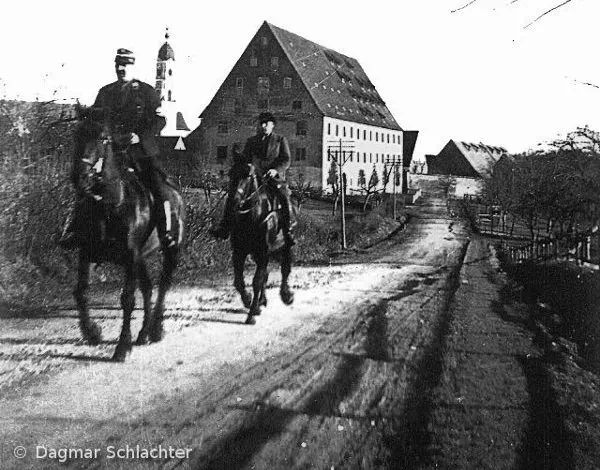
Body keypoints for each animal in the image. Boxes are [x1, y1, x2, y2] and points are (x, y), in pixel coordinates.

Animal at [70, 112, 184, 362]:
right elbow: (80, 291)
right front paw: (92, 332)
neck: (110, 204)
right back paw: (143, 333)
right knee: (148, 287)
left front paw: (122, 346)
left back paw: (156, 329)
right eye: (76, 134)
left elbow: (127, 299)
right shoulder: (87, 253)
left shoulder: (130, 256)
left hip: (170, 250)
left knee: (163, 285)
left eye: (103, 138)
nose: (79, 177)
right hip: (141, 258)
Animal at [231, 163, 294, 324]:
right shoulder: (239, 253)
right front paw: (248, 301)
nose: (235, 201)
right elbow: (239, 281)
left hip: (285, 248)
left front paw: (251, 314)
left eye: (248, 176)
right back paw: (261, 301)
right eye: (231, 174)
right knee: (266, 275)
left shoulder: (263, 253)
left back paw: (286, 296)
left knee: (285, 270)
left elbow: (257, 281)